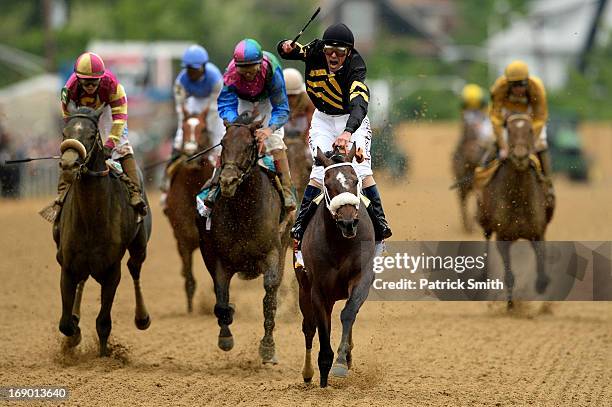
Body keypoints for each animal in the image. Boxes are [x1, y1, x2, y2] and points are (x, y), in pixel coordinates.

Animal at [54, 106, 152, 356]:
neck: (91, 219)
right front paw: (74, 335)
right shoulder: (68, 266)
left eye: (91, 135)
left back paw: (142, 317)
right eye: (64, 133)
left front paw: (104, 356)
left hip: (139, 246)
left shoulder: (111, 270)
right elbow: (65, 323)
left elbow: (103, 322)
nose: (69, 164)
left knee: (135, 268)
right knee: (83, 281)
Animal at [196, 114, 292, 364]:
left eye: (249, 145)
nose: (227, 181)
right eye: (222, 143)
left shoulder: (273, 253)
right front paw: (225, 336)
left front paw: (267, 347)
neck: (244, 211)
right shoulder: (218, 258)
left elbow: (269, 299)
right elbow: (221, 299)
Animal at [296, 144, 372, 388]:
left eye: (355, 181)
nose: (348, 223)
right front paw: (323, 381)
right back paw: (308, 373)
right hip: (304, 289)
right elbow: (321, 331)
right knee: (309, 327)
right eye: (328, 184)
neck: (340, 243)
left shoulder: (362, 278)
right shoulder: (318, 290)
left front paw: (340, 361)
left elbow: (349, 313)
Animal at [478, 113, 548, 310]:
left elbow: (541, 270)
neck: (518, 199)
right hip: (485, 222)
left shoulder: (537, 233)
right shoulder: (503, 238)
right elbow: (509, 276)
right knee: (486, 238)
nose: (520, 155)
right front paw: (510, 306)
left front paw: (541, 285)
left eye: (530, 129)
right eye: (509, 130)